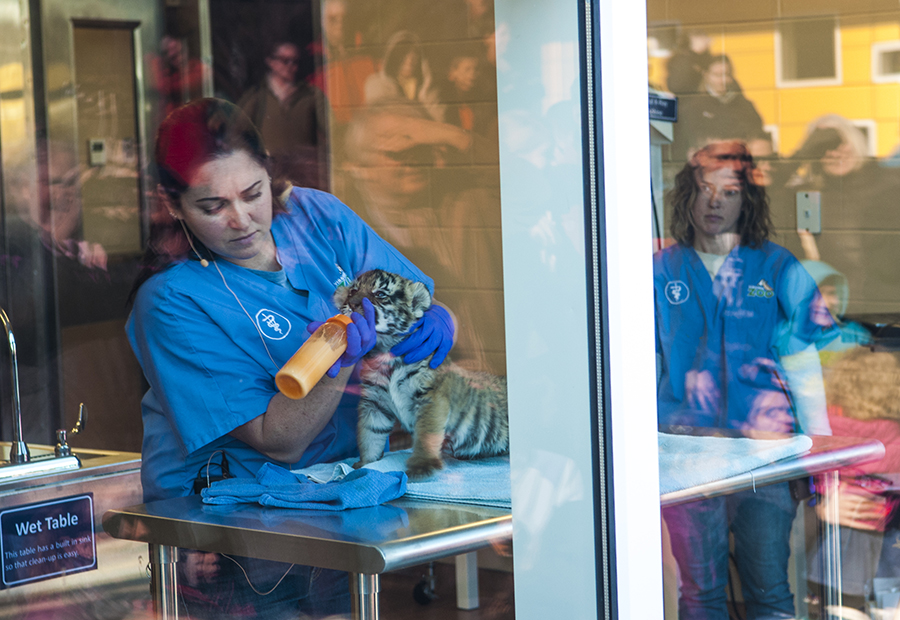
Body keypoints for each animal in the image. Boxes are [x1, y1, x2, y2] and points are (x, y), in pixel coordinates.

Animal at [333, 269, 509, 479]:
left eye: (380, 294)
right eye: (353, 291)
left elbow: (426, 434)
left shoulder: (430, 397)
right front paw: (365, 465)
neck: (386, 352)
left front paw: (422, 465)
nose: (351, 303)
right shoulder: (374, 403)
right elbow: (369, 436)